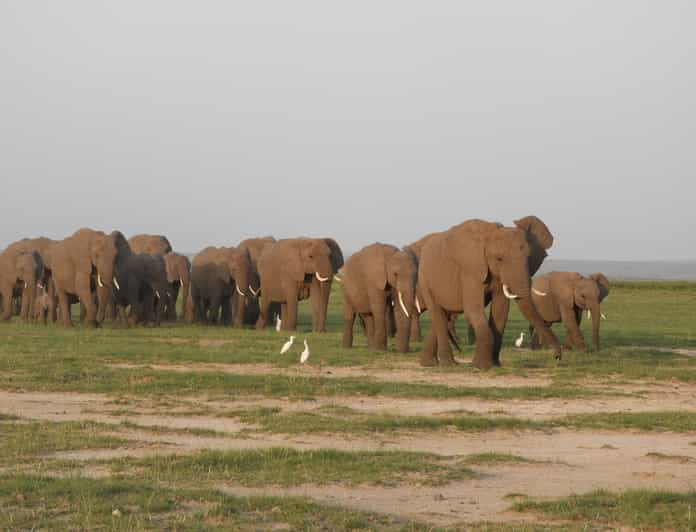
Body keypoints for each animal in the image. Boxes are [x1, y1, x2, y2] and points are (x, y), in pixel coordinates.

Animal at [416, 218, 564, 368]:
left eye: (528, 258)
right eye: (499, 259)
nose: (556, 357)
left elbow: (500, 310)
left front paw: (494, 365)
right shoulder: (471, 270)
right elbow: (472, 310)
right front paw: (481, 366)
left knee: (444, 315)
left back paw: (428, 363)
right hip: (425, 280)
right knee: (438, 314)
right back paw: (448, 364)